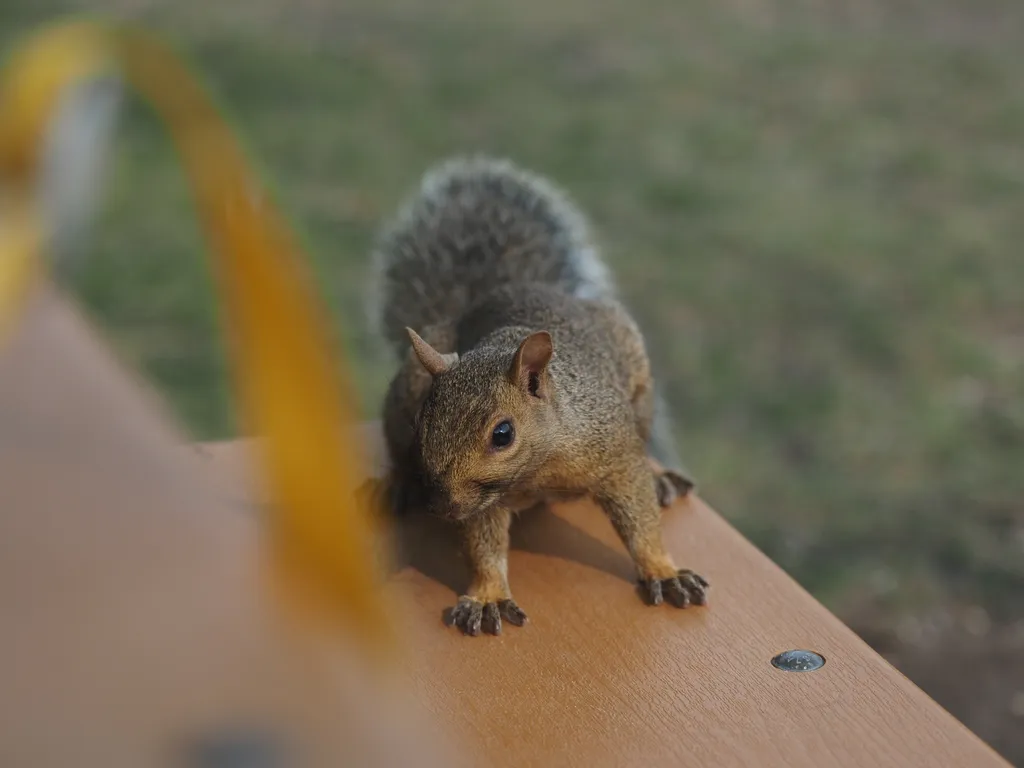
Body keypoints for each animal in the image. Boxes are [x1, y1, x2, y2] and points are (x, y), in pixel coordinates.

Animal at [368, 154, 712, 638]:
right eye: (424, 422)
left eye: (503, 434)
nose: (443, 508)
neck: (540, 468)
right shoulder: (482, 496)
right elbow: (484, 543)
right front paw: (488, 596)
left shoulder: (613, 451)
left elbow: (639, 517)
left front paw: (663, 570)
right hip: (405, 390)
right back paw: (398, 483)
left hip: (638, 380)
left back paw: (661, 477)